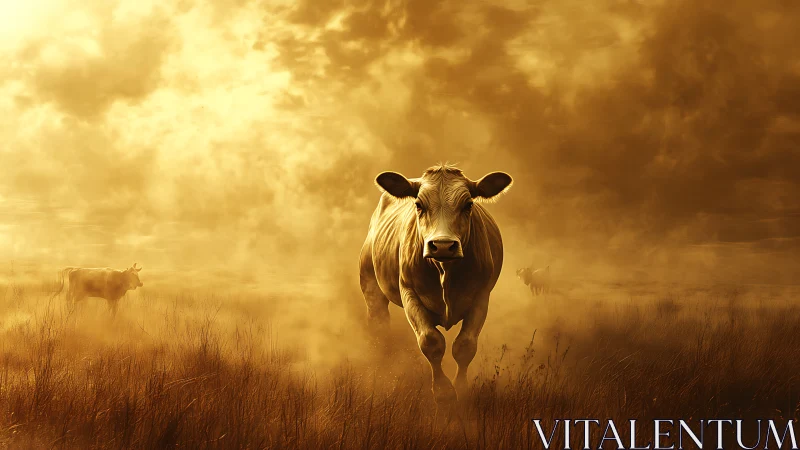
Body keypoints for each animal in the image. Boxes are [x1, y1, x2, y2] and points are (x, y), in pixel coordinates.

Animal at [359, 163, 513, 406]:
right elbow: (431, 341)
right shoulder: (409, 292)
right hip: (371, 286)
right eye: (419, 205)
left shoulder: (481, 295)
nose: (442, 245)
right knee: (379, 327)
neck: (444, 271)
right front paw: (443, 393)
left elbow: (465, 346)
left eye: (468, 204)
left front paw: (461, 391)